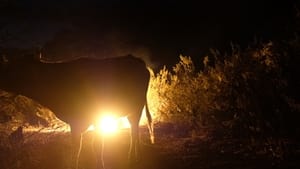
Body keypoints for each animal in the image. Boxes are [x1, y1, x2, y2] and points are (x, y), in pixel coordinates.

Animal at [0, 54, 155, 168]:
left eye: (14, 68)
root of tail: (136, 60)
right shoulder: (76, 122)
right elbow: (76, 148)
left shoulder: (93, 118)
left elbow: (94, 147)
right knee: (134, 131)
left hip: (136, 109)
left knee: (134, 132)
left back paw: (133, 159)